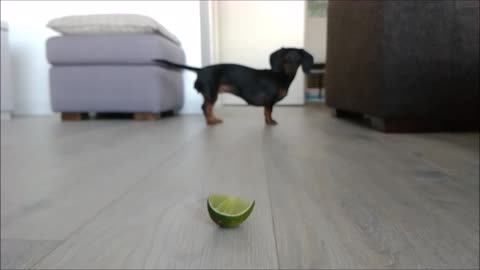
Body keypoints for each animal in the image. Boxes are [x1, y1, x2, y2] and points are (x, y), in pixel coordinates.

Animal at [154, 47, 316, 125]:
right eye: (285, 57)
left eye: (298, 58)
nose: (291, 67)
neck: (281, 76)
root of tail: (201, 70)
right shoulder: (269, 100)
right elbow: (268, 112)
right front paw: (270, 122)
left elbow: (266, 112)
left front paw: (268, 121)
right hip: (211, 92)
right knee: (205, 107)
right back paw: (211, 122)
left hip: (211, 94)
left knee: (208, 108)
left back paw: (213, 118)